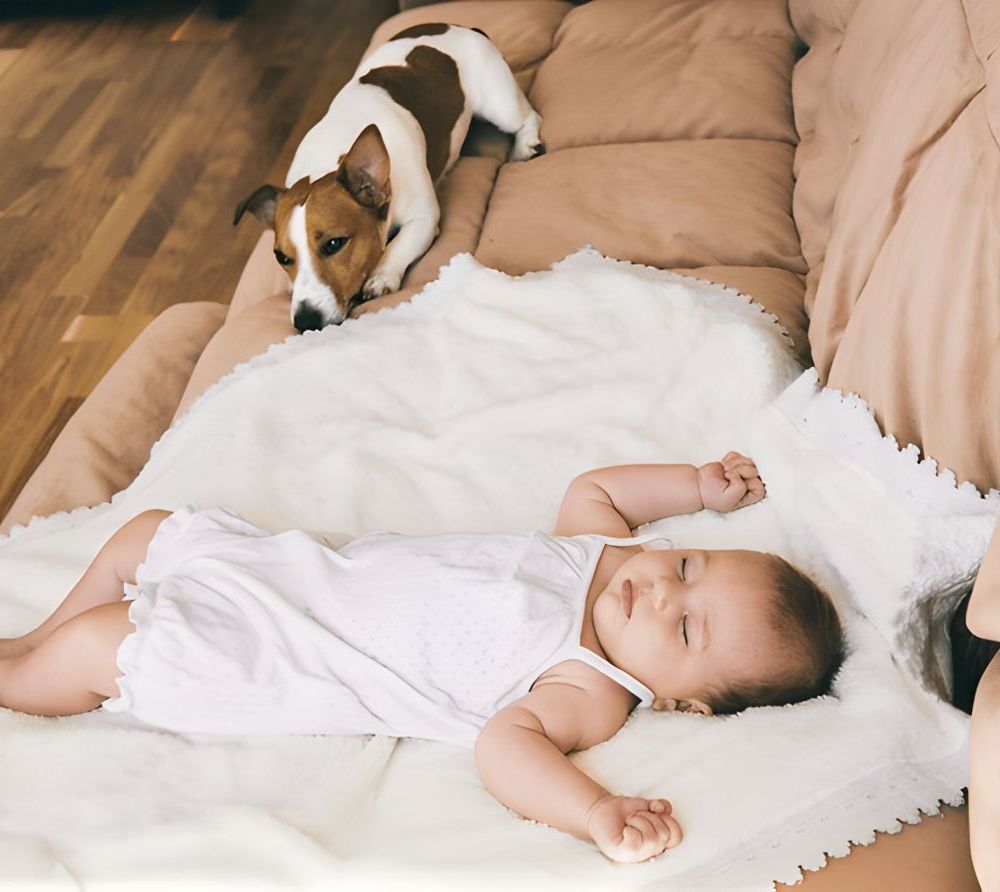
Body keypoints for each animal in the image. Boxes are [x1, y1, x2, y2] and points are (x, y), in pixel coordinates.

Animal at [233, 23, 544, 332]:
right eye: (282, 257)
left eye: (334, 244)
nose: (305, 321)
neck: (330, 156)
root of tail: (463, 27)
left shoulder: (423, 219)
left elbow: (398, 245)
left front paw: (381, 275)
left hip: (500, 104)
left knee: (529, 117)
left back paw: (524, 146)